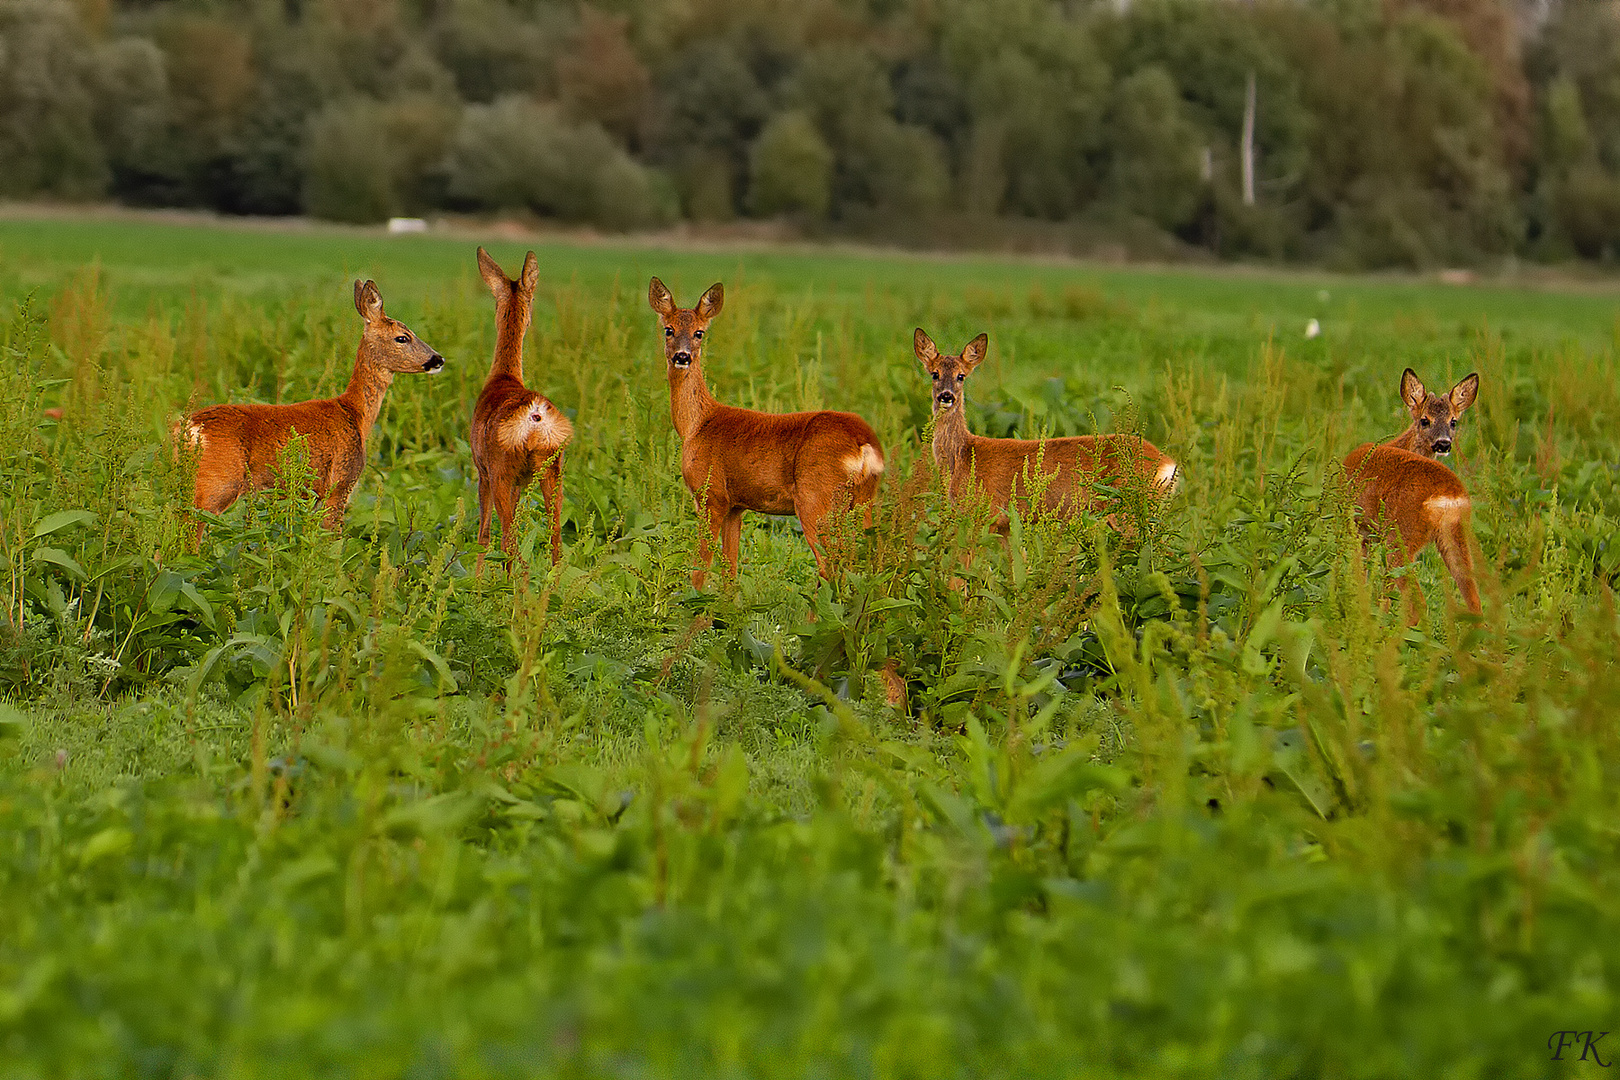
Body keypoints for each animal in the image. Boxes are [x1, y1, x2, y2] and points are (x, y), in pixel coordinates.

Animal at [181, 278, 447, 540]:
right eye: (403, 337)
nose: (438, 359)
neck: (354, 414)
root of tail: (189, 427)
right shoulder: (340, 483)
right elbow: (333, 540)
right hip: (217, 484)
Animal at [469, 247, 576, 573]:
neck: (503, 376)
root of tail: (536, 415)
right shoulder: (521, 480)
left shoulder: (484, 471)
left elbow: (483, 535)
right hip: (553, 467)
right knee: (555, 541)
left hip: (501, 470)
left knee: (509, 541)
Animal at [644, 275, 887, 586]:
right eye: (669, 329)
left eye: (699, 333)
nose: (682, 356)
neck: (696, 425)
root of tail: (864, 443)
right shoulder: (736, 505)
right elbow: (730, 572)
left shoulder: (711, 495)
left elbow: (699, 571)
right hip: (864, 498)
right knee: (868, 562)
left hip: (815, 498)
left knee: (830, 566)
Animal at [913, 330, 1179, 531]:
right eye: (935, 374)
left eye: (961, 376)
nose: (946, 396)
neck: (961, 456)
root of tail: (1167, 463)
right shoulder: (1005, 526)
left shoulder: (982, 514)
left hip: (1129, 510)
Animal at [1341, 369, 1483, 625]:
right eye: (1425, 420)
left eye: (1453, 421)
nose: (1443, 443)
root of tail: (1447, 496)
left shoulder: (1356, 525)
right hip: (1454, 534)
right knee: (1474, 599)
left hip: (1402, 534)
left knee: (1417, 603)